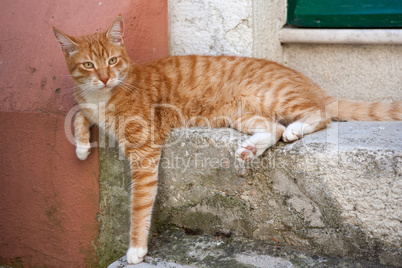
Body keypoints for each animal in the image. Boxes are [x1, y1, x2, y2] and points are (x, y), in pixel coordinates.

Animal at [52, 15, 398, 264]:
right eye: (88, 65)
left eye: (112, 61)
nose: (105, 77)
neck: (104, 94)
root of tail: (310, 83)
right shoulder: (90, 108)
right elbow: (79, 114)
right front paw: (81, 146)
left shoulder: (145, 150)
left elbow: (139, 205)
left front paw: (136, 249)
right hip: (241, 112)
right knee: (272, 128)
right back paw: (250, 149)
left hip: (273, 97)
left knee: (319, 114)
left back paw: (296, 129)